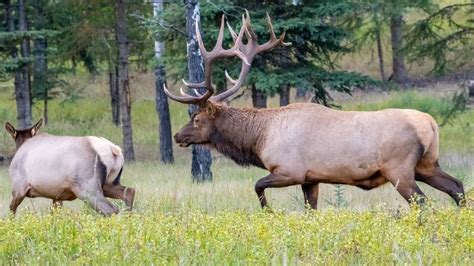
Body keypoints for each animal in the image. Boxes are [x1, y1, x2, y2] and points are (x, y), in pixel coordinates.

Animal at [5, 119, 135, 215]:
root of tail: (114, 150)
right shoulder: (57, 195)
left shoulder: (19, 188)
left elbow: (11, 210)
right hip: (108, 183)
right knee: (129, 192)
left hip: (87, 187)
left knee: (111, 209)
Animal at [165, 11, 464, 209]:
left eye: (196, 117)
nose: (178, 136)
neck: (259, 138)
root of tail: (431, 124)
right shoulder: (311, 179)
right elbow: (311, 210)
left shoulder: (290, 170)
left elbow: (257, 185)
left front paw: (269, 211)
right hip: (427, 164)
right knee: (458, 187)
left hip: (399, 169)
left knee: (424, 203)